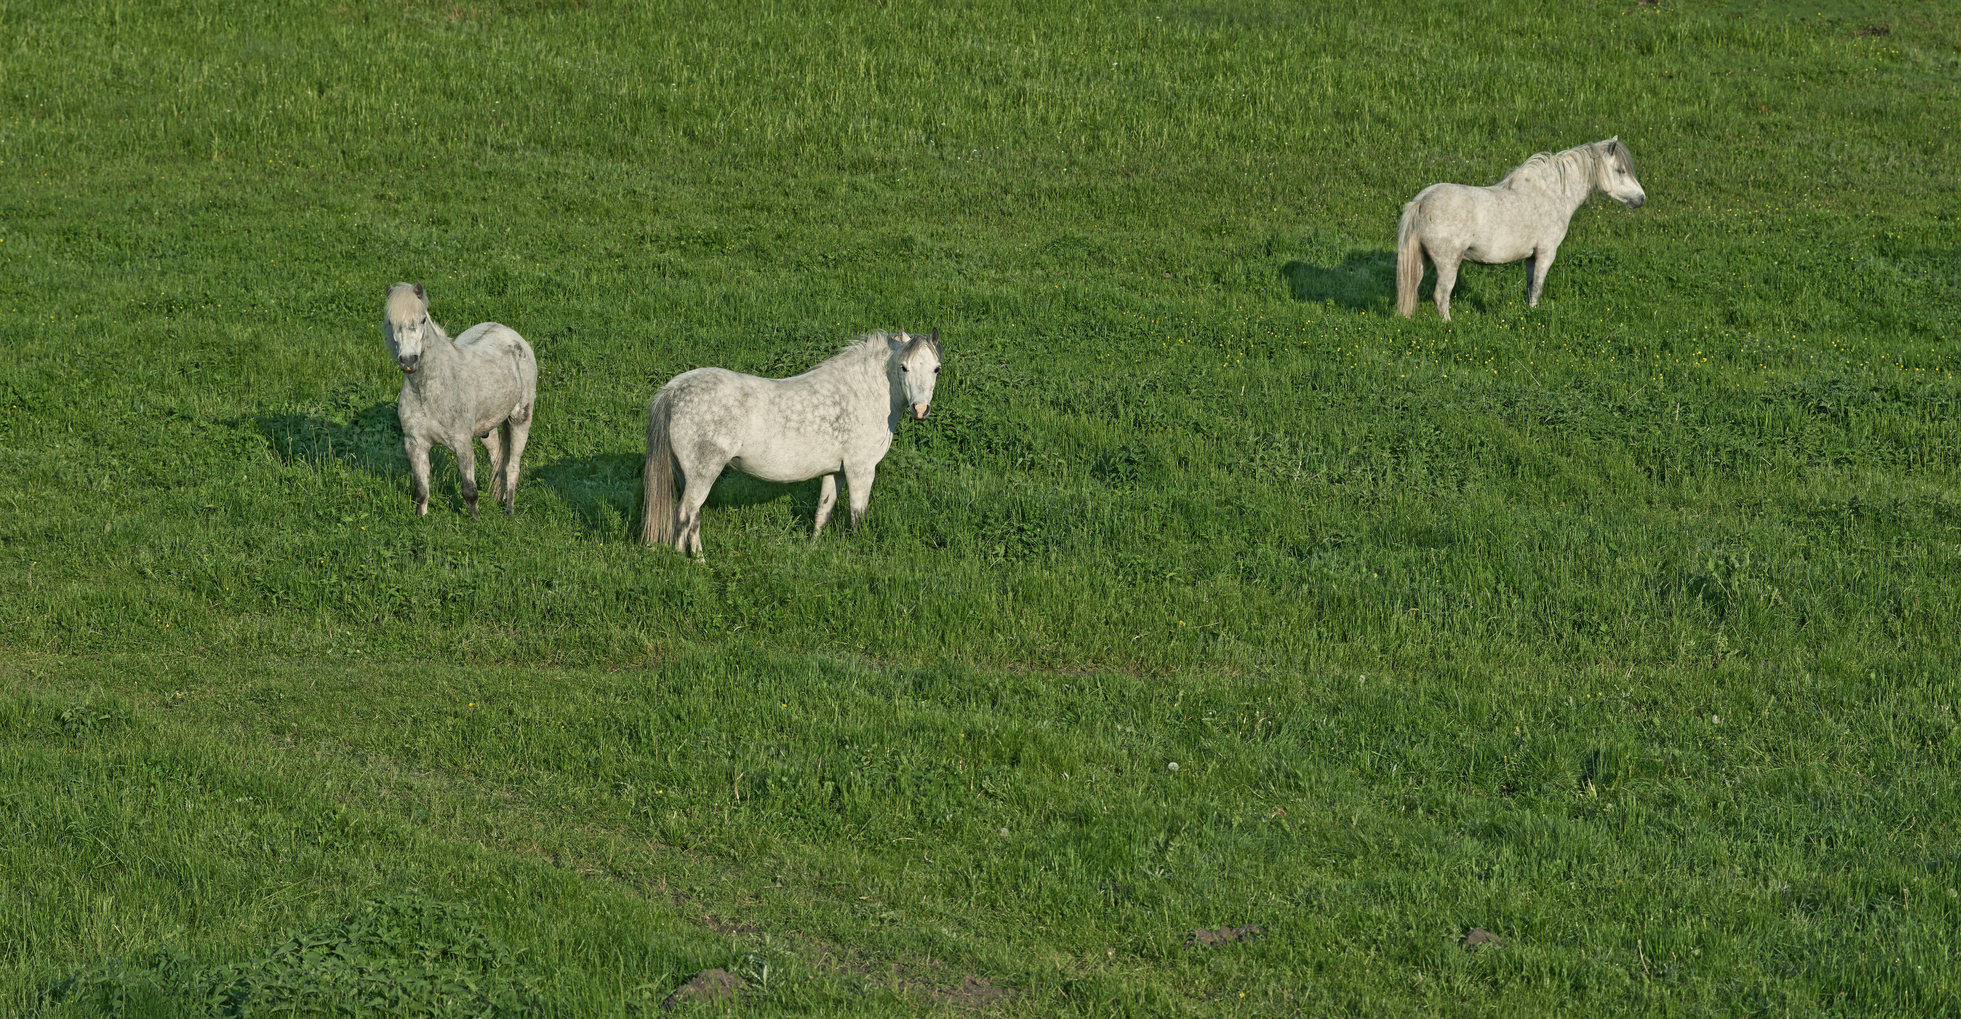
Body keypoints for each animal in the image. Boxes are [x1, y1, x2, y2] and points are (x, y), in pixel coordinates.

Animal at [382, 282, 538, 516]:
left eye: (422, 320)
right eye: (391, 322)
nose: (408, 361)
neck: (427, 392)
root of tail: (512, 335)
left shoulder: (462, 443)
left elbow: (469, 491)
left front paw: (475, 521)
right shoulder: (415, 444)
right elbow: (421, 490)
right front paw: (421, 517)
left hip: (520, 418)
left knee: (512, 466)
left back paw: (508, 509)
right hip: (488, 428)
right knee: (497, 459)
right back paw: (499, 498)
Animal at [640, 330, 942, 559]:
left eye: (936, 369)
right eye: (904, 367)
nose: (920, 409)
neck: (861, 393)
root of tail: (673, 389)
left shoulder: (835, 471)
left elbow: (823, 512)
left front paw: (813, 549)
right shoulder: (861, 469)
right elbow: (858, 516)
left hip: (687, 474)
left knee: (693, 517)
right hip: (703, 473)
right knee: (686, 514)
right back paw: (693, 563)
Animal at [1396, 137, 1645, 321]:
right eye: (1621, 171)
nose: (1641, 198)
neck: (1549, 194)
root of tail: (1421, 201)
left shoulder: (1531, 258)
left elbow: (1529, 286)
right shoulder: (1546, 253)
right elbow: (1537, 289)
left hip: (1421, 260)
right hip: (1448, 263)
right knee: (1441, 295)